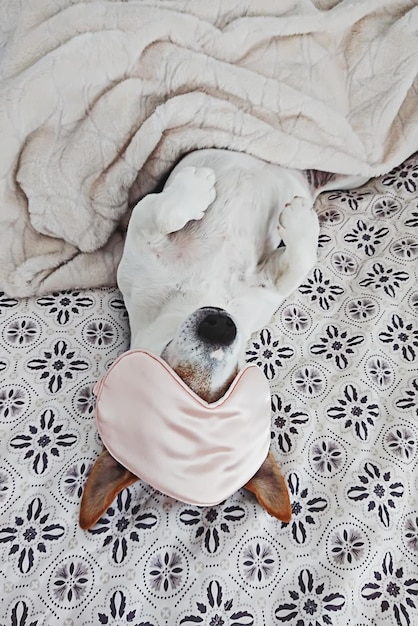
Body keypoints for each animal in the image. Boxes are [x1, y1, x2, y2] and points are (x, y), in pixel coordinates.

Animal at [78, 149, 366, 528]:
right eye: (177, 379)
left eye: (230, 385)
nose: (221, 328)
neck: (198, 295)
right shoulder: (141, 242)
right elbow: (160, 213)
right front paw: (198, 189)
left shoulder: (266, 285)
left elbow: (298, 261)